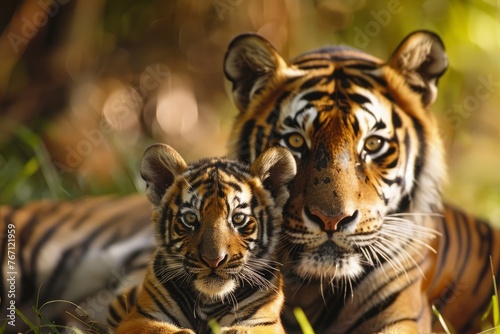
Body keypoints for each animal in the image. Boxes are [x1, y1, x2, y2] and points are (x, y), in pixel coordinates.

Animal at [111, 144, 294, 334]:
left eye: (238, 218)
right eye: (190, 218)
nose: (214, 261)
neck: (209, 300)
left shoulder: (266, 322)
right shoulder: (138, 318)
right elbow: (161, 329)